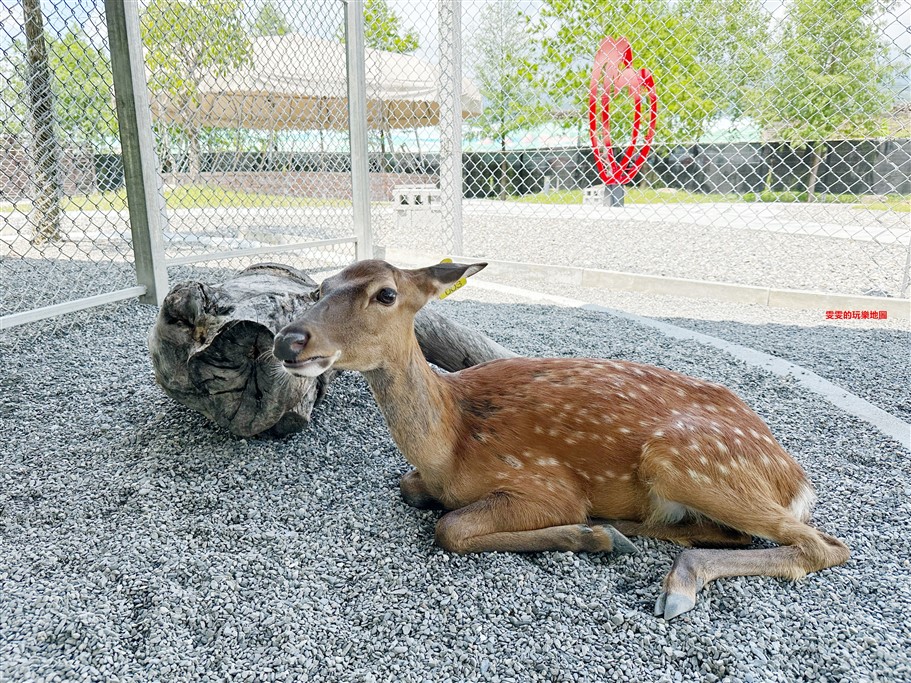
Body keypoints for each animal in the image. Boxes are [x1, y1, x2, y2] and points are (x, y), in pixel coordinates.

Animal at [268, 260, 848, 620]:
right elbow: (411, 490)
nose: (288, 340)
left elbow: (450, 528)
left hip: (685, 458)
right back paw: (624, 529)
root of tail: (795, 479)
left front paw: (588, 537)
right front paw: (597, 534)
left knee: (823, 544)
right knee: (737, 535)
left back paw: (668, 581)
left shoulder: (543, 483)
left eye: (385, 294)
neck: (450, 445)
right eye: (320, 288)